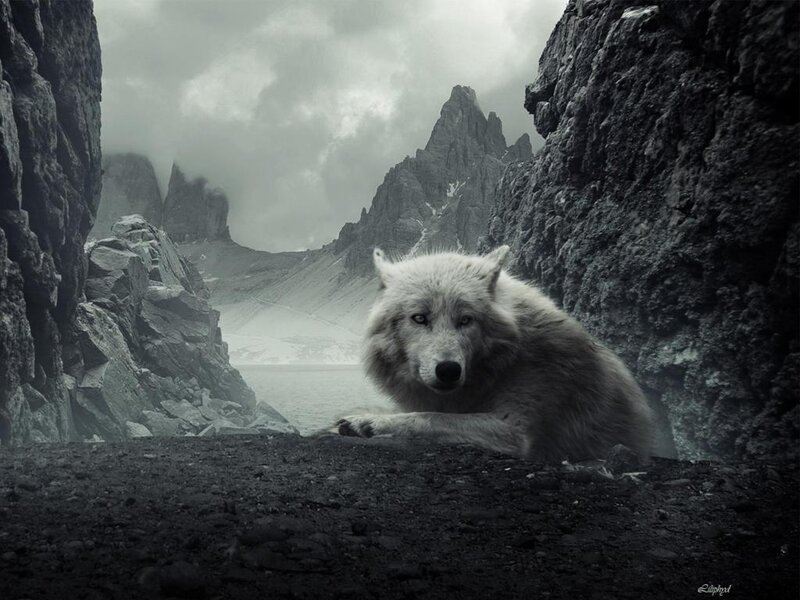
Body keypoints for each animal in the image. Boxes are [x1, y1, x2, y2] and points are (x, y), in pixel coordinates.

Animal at [336, 246, 654, 462]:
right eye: (419, 318)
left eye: (466, 320)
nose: (449, 370)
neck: (504, 363)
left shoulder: (514, 429)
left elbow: (429, 418)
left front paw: (368, 422)